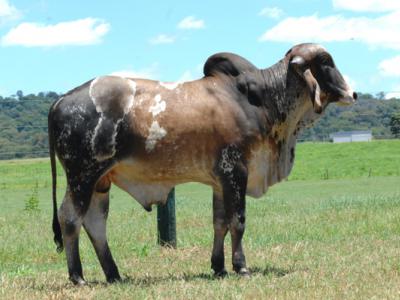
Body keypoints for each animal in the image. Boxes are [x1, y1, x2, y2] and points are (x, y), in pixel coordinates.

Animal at [47, 42, 356, 284]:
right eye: (326, 62)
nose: (353, 94)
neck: (263, 100)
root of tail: (60, 100)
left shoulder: (219, 180)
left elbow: (220, 223)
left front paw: (218, 267)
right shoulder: (236, 171)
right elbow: (238, 221)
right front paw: (241, 267)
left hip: (101, 181)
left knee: (95, 223)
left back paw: (114, 274)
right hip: (82, 176)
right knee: (70, 218)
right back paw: (78, 276)